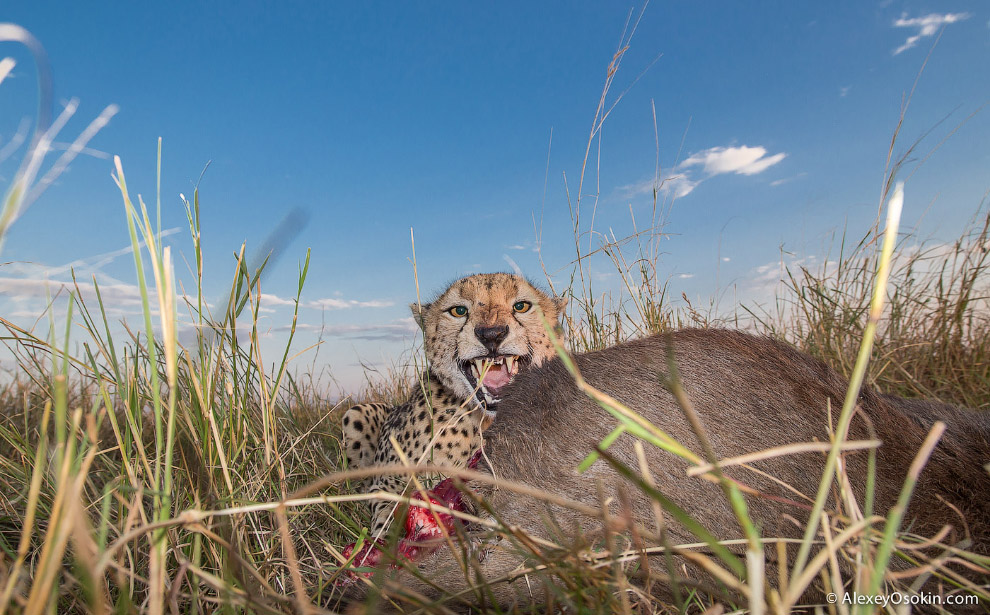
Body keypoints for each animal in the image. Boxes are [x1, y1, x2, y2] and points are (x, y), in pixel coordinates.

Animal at [340, 272, 564, 536]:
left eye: (521, 306)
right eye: (459, 311)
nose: (491, 334)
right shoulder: (385, 481)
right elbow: (385, 509)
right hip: (356, 412)